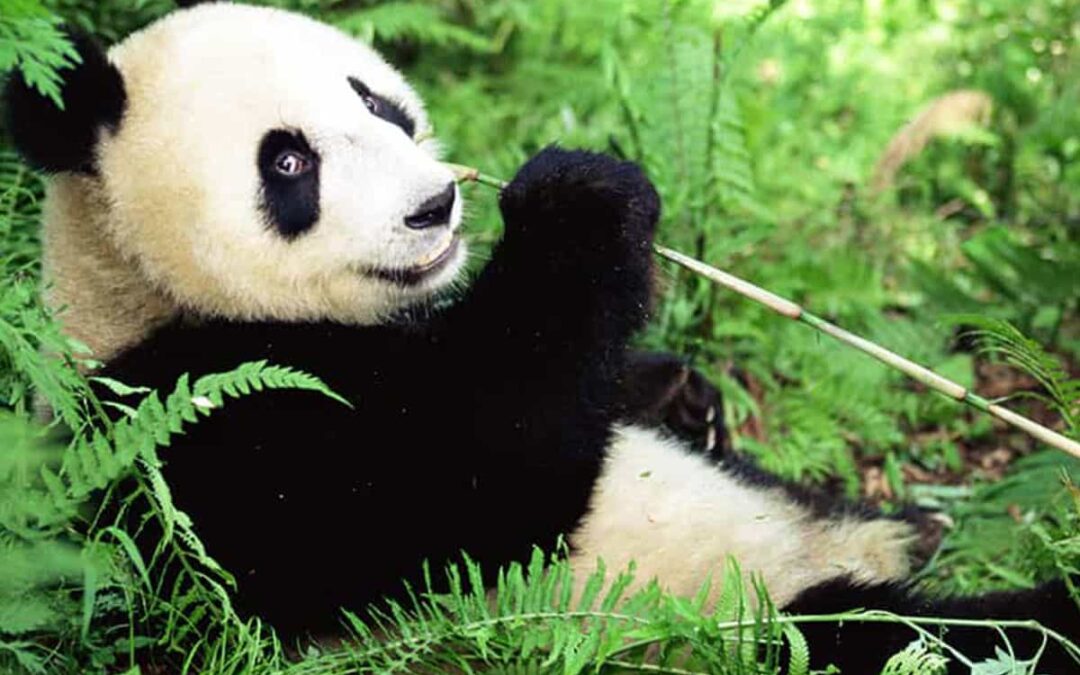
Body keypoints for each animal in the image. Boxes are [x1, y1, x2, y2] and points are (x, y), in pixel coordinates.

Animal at [4, 3, 1077, 672]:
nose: (436, 206)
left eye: (376, 101)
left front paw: (680, 388)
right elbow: (470, 494)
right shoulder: (190, 434)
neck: (134, 286)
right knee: (919, 640)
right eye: (289, 162)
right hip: (739, 624)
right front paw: (580, 201)